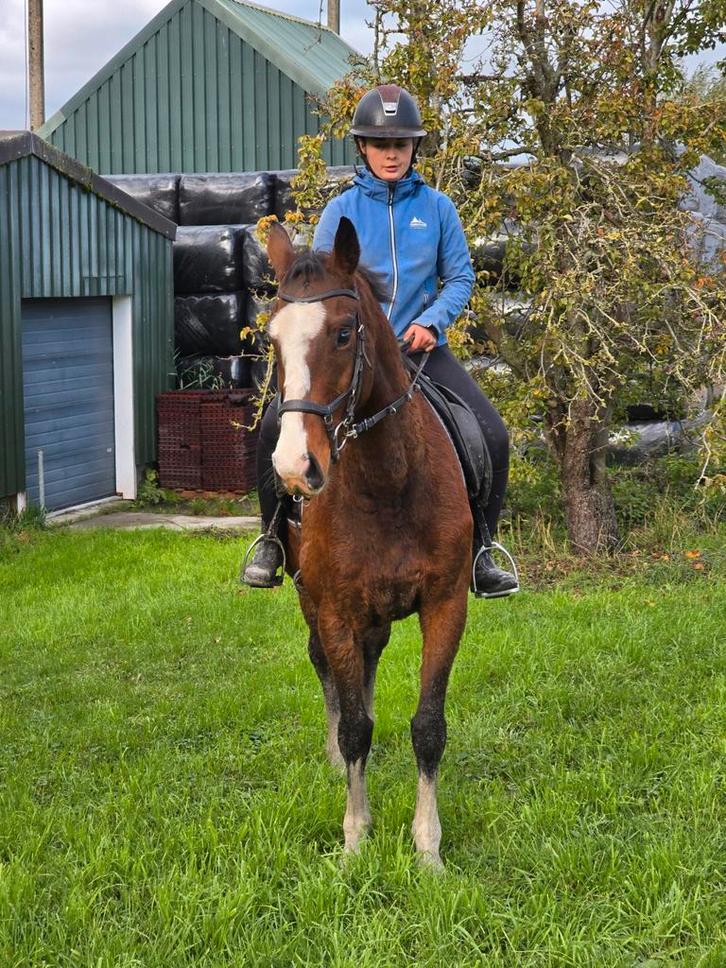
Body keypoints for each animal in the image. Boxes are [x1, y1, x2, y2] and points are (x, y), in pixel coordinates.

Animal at [264, 216, 472, 867]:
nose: (295, 467)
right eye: (273, 340)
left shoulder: (445, 605)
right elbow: (353, 724)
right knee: (329, 669)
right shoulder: (333, 606)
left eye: (343, 333)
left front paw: (428, 848)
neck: (388, 479)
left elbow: (428, 727)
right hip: (311, 594)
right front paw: (356, 838)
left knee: (370, 659)